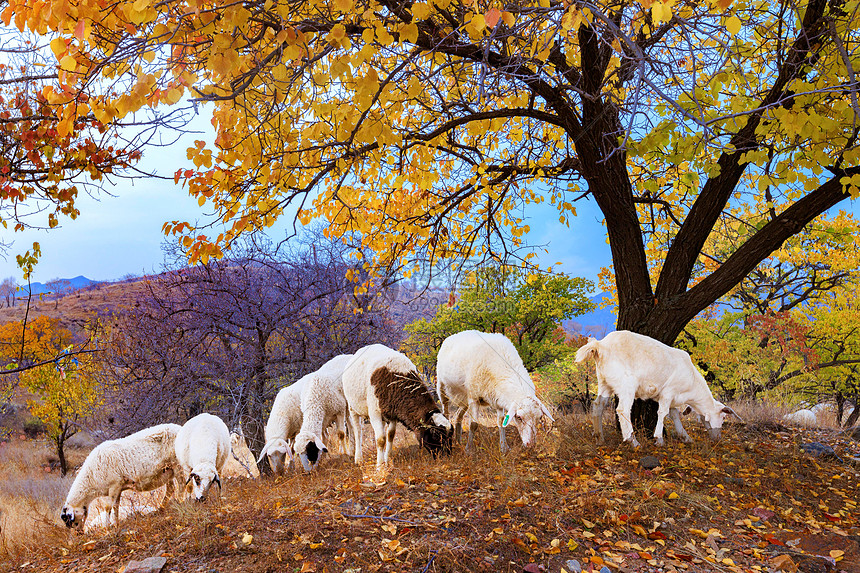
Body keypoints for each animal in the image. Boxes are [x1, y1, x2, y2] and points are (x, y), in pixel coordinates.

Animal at [576, 330, 744, 446]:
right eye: (724, 417)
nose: (717, 438)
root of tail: (601, 345)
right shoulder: (668, 392)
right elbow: (662, 413)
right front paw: (659, 439)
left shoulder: (673, 398)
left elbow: (674, 415)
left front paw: (685, 437)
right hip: (626, 384)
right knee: (622, 409)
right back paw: (632, 441)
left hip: (604, 382)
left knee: (598, 405)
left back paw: (599, 437)